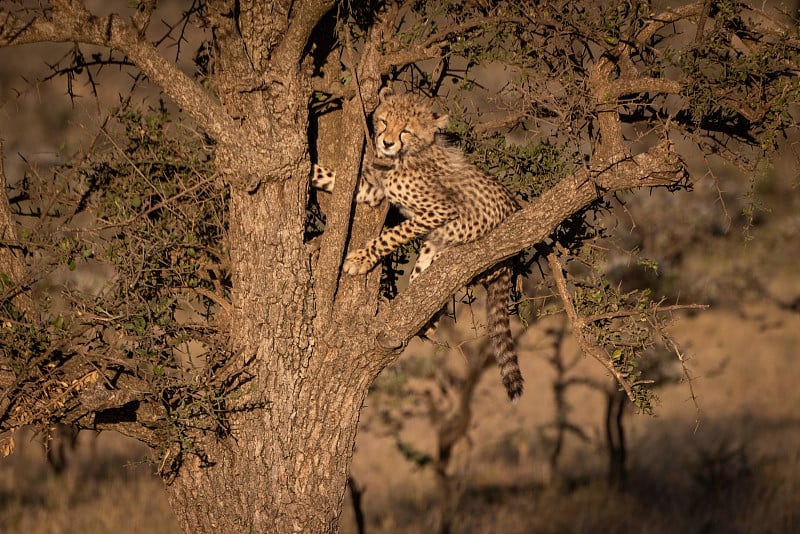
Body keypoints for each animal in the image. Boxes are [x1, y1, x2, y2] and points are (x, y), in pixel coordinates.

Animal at [312, 88, 524, 400]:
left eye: (406, 130)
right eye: (385, 121)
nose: (386, 142)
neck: (404, 156)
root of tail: (512, 264)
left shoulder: (440, 210)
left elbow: (393, 234)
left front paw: (361, 260)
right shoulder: (374, 191)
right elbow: (331, 177)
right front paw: (302, 170)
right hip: (431, 254)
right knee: (425, 288)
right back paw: (425, 319)